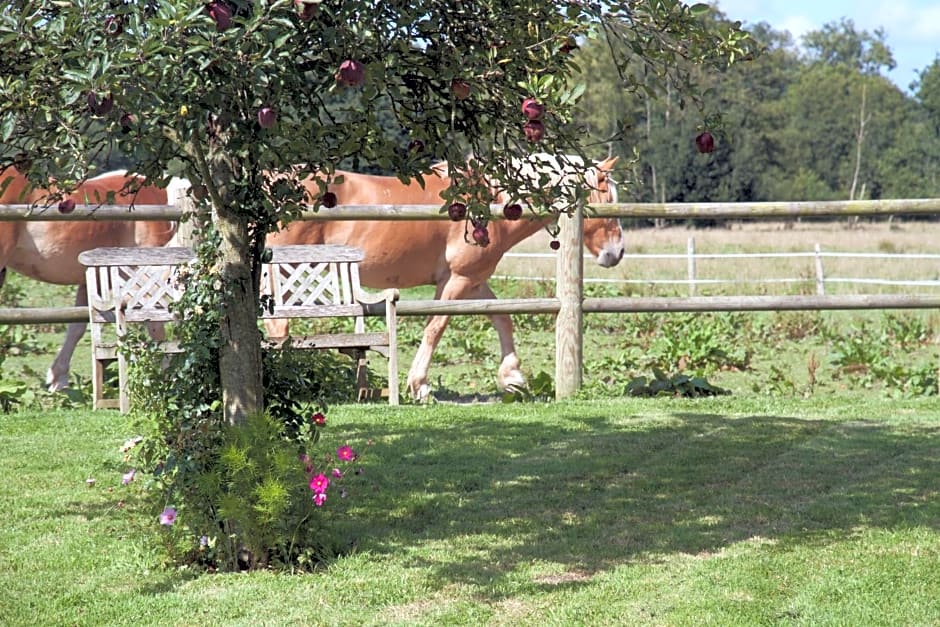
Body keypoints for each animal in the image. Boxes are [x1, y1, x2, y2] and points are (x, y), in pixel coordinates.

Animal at [268, 156, 624, 398]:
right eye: (607, 200)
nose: (617, 252)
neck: (491, 201)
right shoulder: (457, 281)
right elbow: (436, 326)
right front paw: (420, 386)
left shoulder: (473, 280)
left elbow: (502, 319)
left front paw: (512, 377)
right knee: (277, 326)